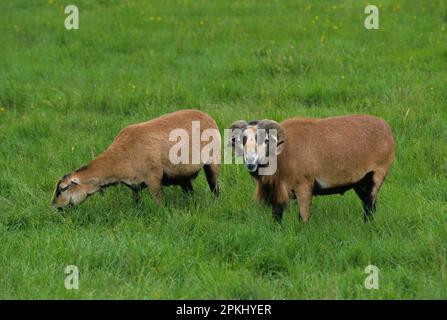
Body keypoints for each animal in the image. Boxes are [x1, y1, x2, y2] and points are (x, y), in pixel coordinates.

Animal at [52, 110, 220, 210]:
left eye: (63, 188)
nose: (54, 207)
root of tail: (206, 114)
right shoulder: (134, 185)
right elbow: (136, 203)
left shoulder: (154, 179)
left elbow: (159, 203)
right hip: (182, 174)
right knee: (190, 192)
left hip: (212, 162)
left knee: (215, 187)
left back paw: (215, 203)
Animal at [231, 114, 396, 222]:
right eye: (241, 140)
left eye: (264, 140)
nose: (250, 161)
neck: (282, 155)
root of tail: (386, 128)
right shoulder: (277, 192)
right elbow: (276, 217)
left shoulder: (304, 187)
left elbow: (302, 218)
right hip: (360, 182)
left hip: (377, 174)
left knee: (370, 206)